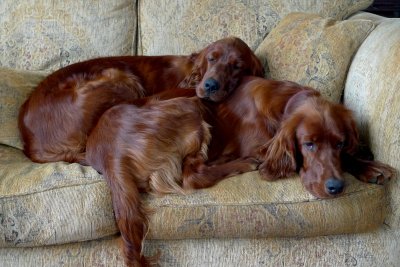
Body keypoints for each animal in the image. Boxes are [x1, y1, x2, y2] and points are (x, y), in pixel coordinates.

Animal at [18, 36, 264, 164]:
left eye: (237, 66)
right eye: (212, 58)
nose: (211, 85)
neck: (193, 74)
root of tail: (30, 143)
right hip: (118, 75)